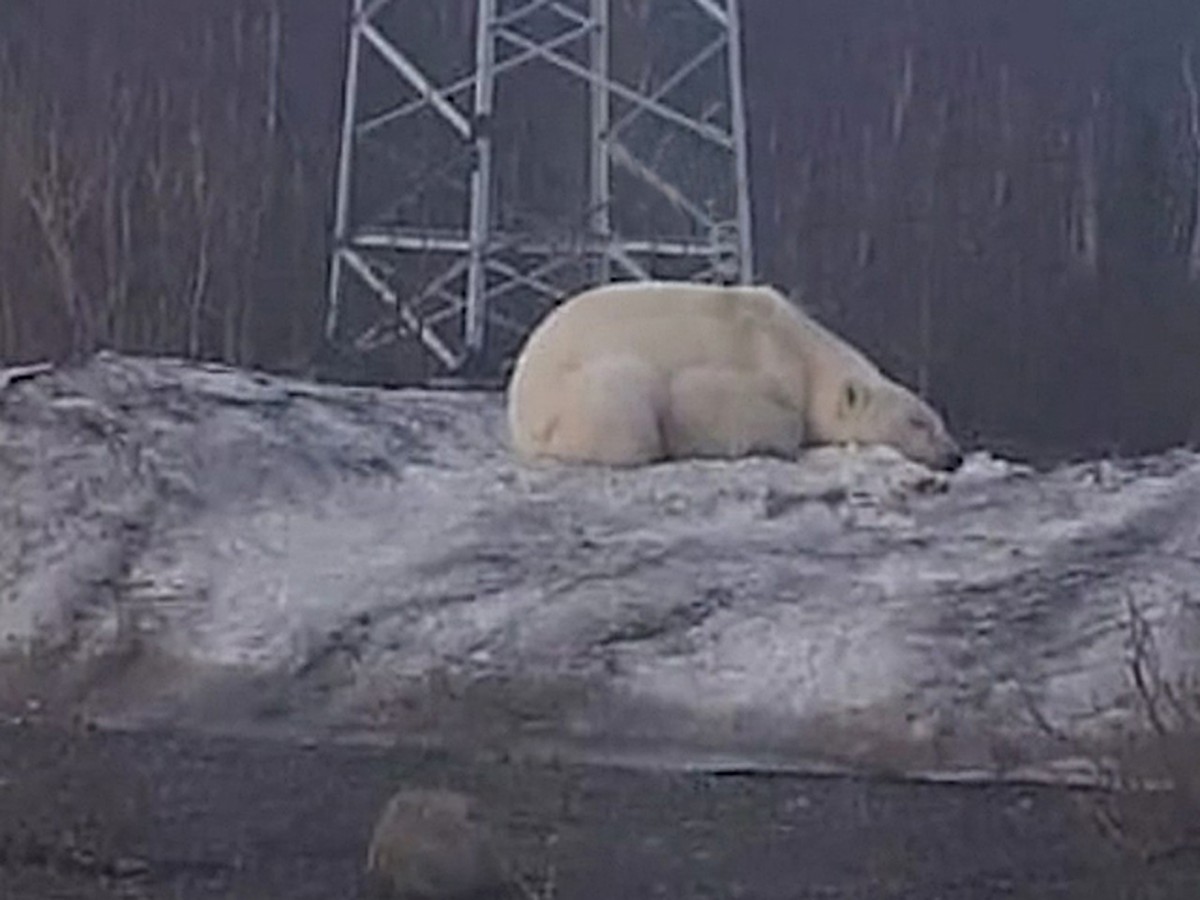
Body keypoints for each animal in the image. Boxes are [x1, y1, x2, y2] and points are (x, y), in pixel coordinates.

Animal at [506, 283, 964, 475]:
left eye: (938, 419)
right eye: (917, 423)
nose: (954, 456)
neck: (801, 347)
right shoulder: (758, 354)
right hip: (580, 393)